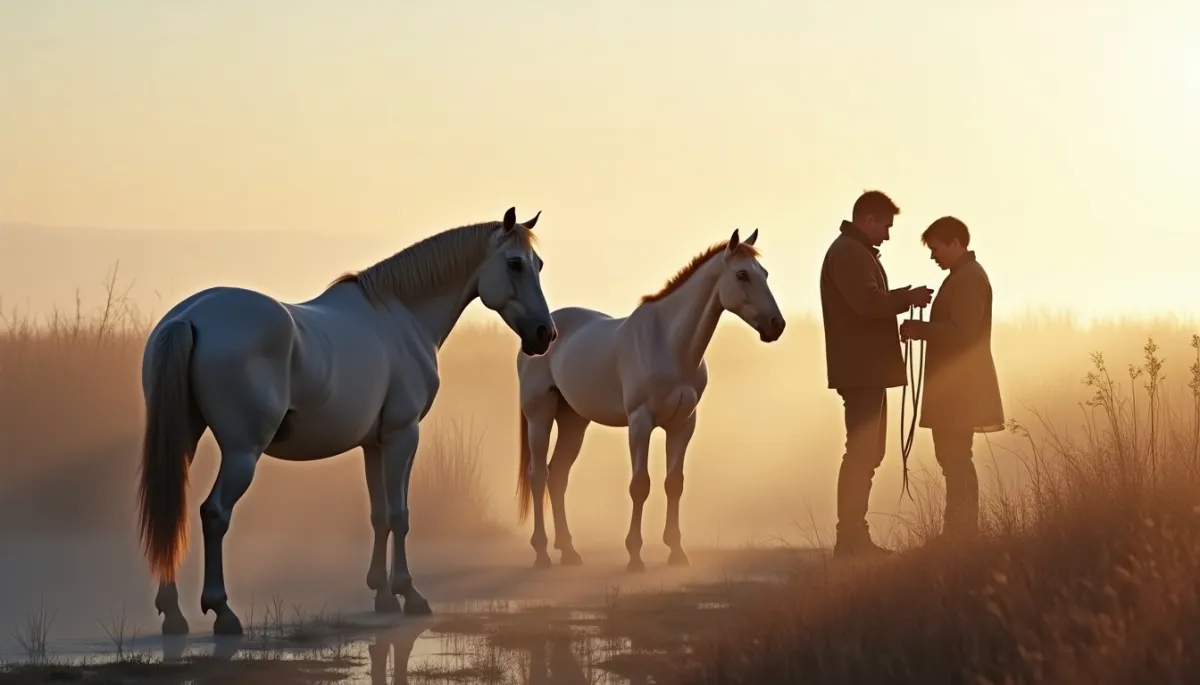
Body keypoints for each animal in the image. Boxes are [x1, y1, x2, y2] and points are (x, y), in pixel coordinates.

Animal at [136, 207, 556, 636]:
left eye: (538, 264)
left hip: (185, 440)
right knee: (214, 513)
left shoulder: (374, 443)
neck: (401, 316)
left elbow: (378, 515)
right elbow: (399, 514)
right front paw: (410, 594)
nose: (545, 333)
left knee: (175, 512)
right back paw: (222, 611)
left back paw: (173, 614)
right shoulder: (404, 434)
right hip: (242, 453)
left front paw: (383, 594)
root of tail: (188, 318)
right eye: (515, 263)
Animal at [514, 228, 785, 572]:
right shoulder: (640, 422)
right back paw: (542, 554)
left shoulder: (683, 424)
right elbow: (640, 485)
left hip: (574, 420)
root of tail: (540, 334)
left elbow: (674, 483)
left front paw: (677, 552)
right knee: (539, 475)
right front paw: (634, 556)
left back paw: (570, 551)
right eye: (742, 274)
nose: (776, 325)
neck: (670, 345)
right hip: (540, 415)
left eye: (764, 273)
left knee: (558, 476)